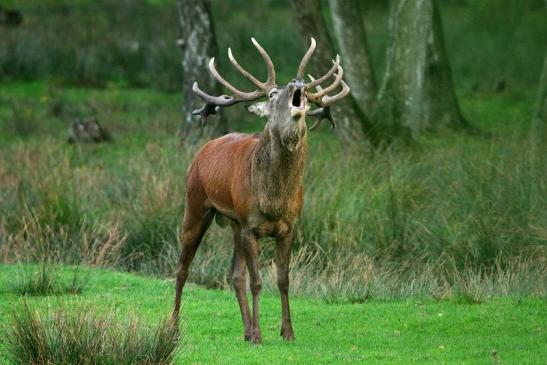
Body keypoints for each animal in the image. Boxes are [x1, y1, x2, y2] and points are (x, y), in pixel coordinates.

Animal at [171, 35, 352, 342]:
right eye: (271, 94)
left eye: (306, 92)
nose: (298, 83)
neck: (274, 199)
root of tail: (201, 152)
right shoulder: (250, 224)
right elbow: (257, 281)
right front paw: (258, 334)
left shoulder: (289, 227)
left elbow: (283, 279)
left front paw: (287, 331)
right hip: (196, 204)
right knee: (183, 268)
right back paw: (173, 325)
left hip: (232, 223)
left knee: (234, 274)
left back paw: (244, 330)